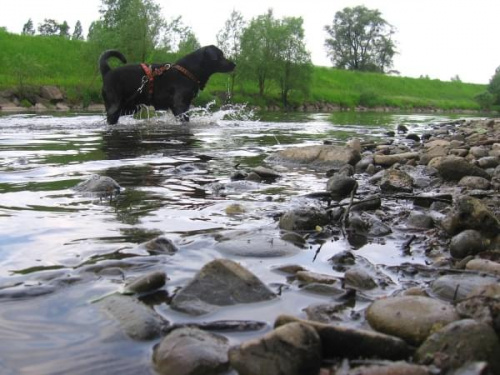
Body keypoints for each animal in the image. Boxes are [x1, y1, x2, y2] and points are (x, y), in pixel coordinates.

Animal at [100, 46, 237, 125]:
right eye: (221, 56)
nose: (234, 64)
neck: (188, 71)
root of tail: (107, 72)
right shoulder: (180, 105)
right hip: (115, 105)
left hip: (130, 107)